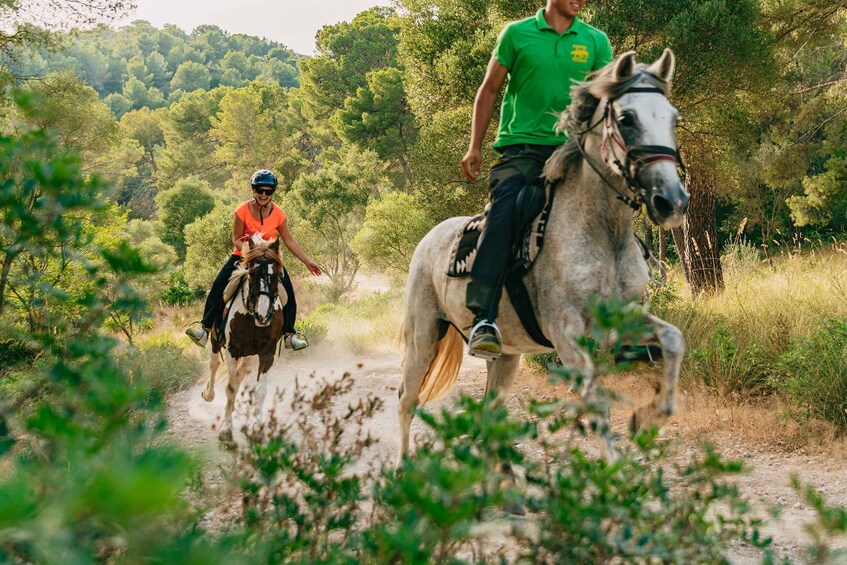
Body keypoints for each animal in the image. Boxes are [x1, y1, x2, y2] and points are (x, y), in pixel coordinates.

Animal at [201, 235, 288, 446]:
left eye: (276, 275)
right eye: (252, 273)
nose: (263, 316)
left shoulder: (267, 353)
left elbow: (260, 390)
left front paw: (257, 430)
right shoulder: (233, 350)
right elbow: (231, 388)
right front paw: (226, 431)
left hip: (249, 354)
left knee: (242, 372)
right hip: (216, 340)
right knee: (214, 365)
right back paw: (208, 394)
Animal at [398, 48, 688, 462]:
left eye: (673, 118)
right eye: (626, 119)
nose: (673, 201)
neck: (603, 236)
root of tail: (428, 239)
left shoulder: (624, 318)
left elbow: (674, 341)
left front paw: (646, 420)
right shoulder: (565, 332)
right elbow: (596, 402)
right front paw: (615, 469)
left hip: (505, 355)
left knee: (489, 412)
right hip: (423, 337)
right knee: (407, 400)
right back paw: (403, 468)